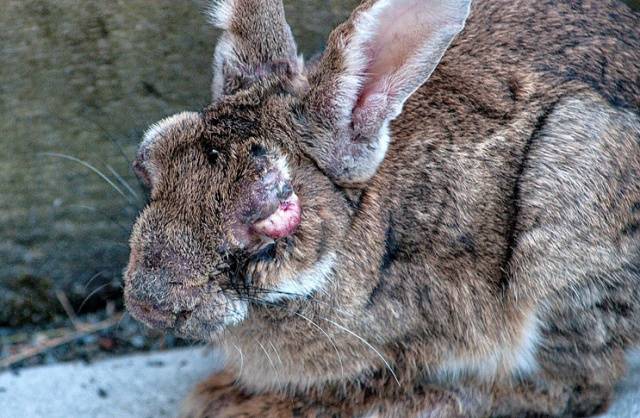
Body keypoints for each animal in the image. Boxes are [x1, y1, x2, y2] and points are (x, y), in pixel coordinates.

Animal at [124, 0, 640, 416]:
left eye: (276, 214)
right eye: (148, 164)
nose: (148, 303)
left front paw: (234, 401)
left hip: (562, 231)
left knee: (574, 387)